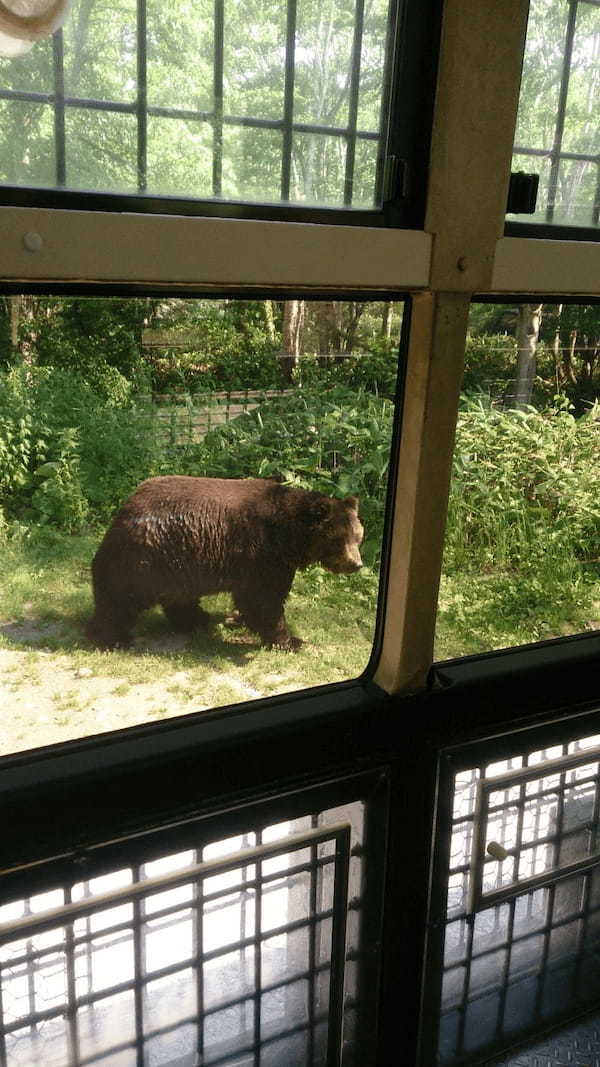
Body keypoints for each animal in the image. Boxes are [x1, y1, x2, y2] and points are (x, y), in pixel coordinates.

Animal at [85, 475, 362, 648]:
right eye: (340, 539)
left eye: (358, 536)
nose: (356, 564)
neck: (288, 535)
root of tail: (125, 508)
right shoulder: (261, 552)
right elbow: (264, 600)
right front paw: (290, 641)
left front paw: (238, 619)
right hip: (144, 557)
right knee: (119, 598)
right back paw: (111, 638)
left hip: (178, 562)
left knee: (177, 598)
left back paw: (197, 619)